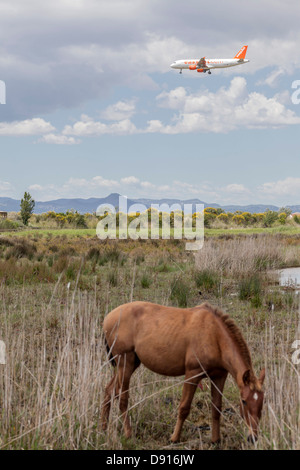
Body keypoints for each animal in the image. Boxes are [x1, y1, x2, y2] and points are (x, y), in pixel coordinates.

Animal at [101, 302, 264, 444]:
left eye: (262, 401)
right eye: (244, 400)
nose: (253, 438)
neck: (214, 335)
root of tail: (108, 318)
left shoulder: (219, 376)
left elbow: (216, 408)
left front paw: (215, 440)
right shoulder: (192, 374)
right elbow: (184, 407)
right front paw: (174, 438)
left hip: (128, 365)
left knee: (109, 391)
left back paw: (103, 428)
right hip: (125, 364)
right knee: (122, 398)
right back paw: (128, 434)